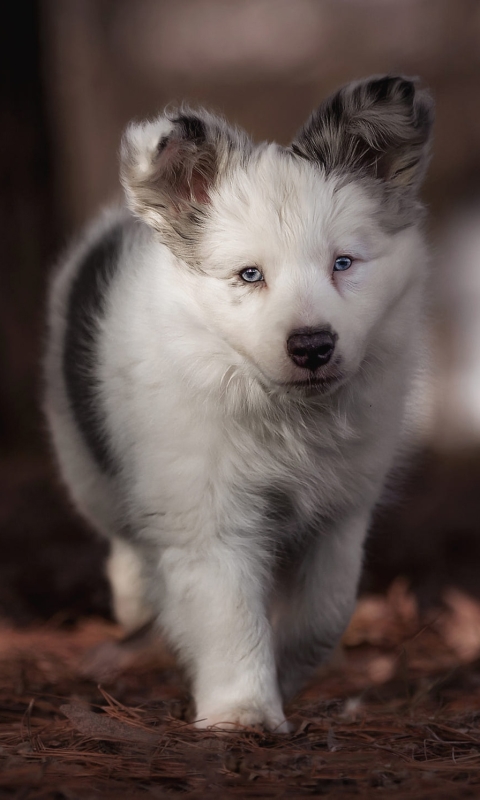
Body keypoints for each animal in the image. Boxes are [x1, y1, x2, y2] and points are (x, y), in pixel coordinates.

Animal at [45, 75, 436, 732]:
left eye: (343, 264)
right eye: (250, 275)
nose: (312, 346)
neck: (283, 414)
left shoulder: (341, 510)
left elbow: (325, 611)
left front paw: (284, 674)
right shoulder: (206, 512)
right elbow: (227, 615)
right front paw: (242, 713)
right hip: (84, 460)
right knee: (121, 537)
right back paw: (134, 602)